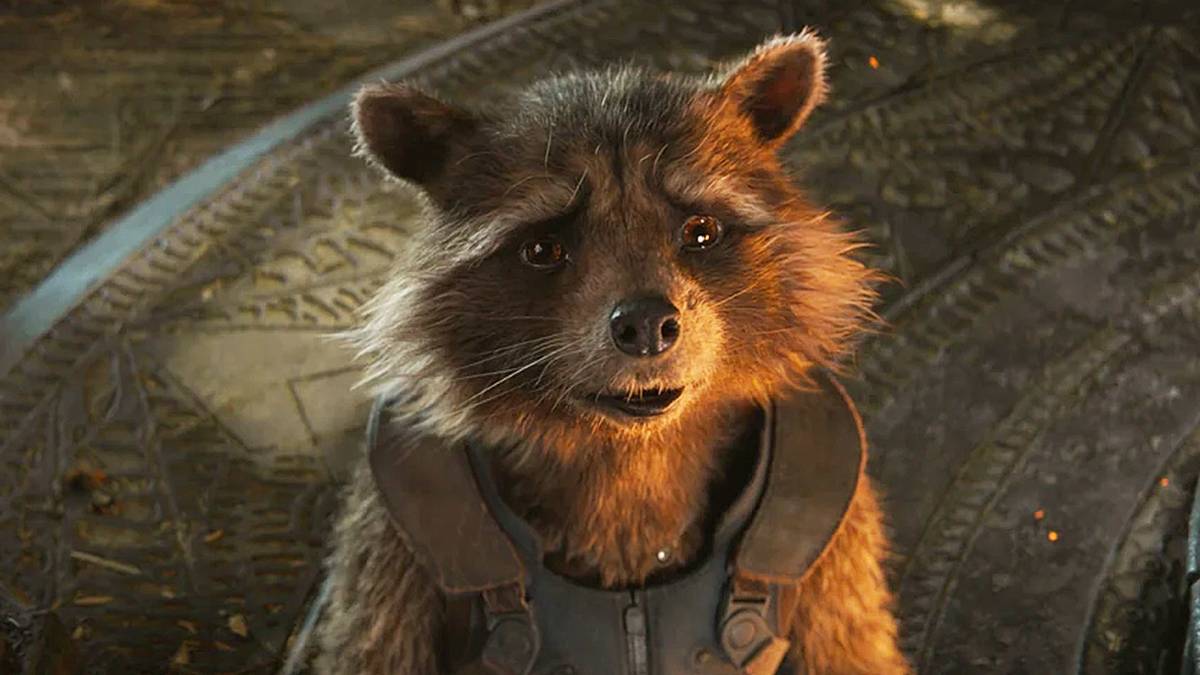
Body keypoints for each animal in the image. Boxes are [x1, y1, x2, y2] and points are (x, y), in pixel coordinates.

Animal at [316, 31, 908, 674]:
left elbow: (852, 646)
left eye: (700, 231)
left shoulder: (837, 519)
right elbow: (368, 649)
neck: (633, 450)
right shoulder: (393, 534)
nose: (646, 324)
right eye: (543, 248)